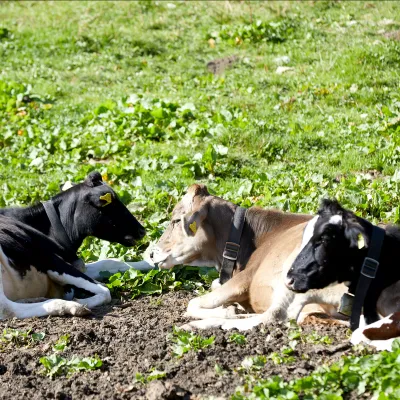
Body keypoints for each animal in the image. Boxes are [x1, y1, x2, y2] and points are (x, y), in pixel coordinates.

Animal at [0, 171, 148, 318]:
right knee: (8, 308)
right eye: (110, 204)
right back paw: (73, 306)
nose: (142, 230)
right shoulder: (49, 258)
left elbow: (109, 262)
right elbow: (105, 290)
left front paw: (151, 263)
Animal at [150, 185, 350, 332]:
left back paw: (207, 323)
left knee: (275, 316)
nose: (151, 253)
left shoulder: (245, 278)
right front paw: (229, 309)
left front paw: (224, 312)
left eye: (176, 220)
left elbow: (192, 303)